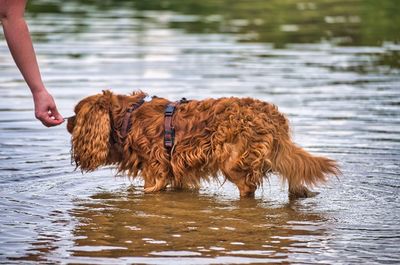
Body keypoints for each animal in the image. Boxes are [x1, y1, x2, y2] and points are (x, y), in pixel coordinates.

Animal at [67, 91, 340, 196]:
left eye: (75, 113)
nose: (67, 122)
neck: (128, 117)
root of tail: (273, 117)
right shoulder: (179, 171)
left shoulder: (155, 170)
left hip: (234, 162)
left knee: (248, 188)